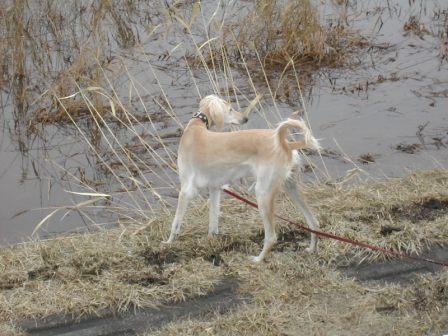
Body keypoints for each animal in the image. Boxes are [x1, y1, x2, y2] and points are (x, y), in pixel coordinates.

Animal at [163, 94, 320, 262]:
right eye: (230, 109)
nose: (245, 118)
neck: (195, 127)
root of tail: (286, 145)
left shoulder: (185, 191)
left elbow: (175, 223)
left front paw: (168, 243)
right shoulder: (214, 188)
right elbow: (213, 221)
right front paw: (211, 241)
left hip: (263, 193)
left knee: (271, 237)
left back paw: (257, 259)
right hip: (291, 187)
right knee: (313, 222)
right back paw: (311, 249)